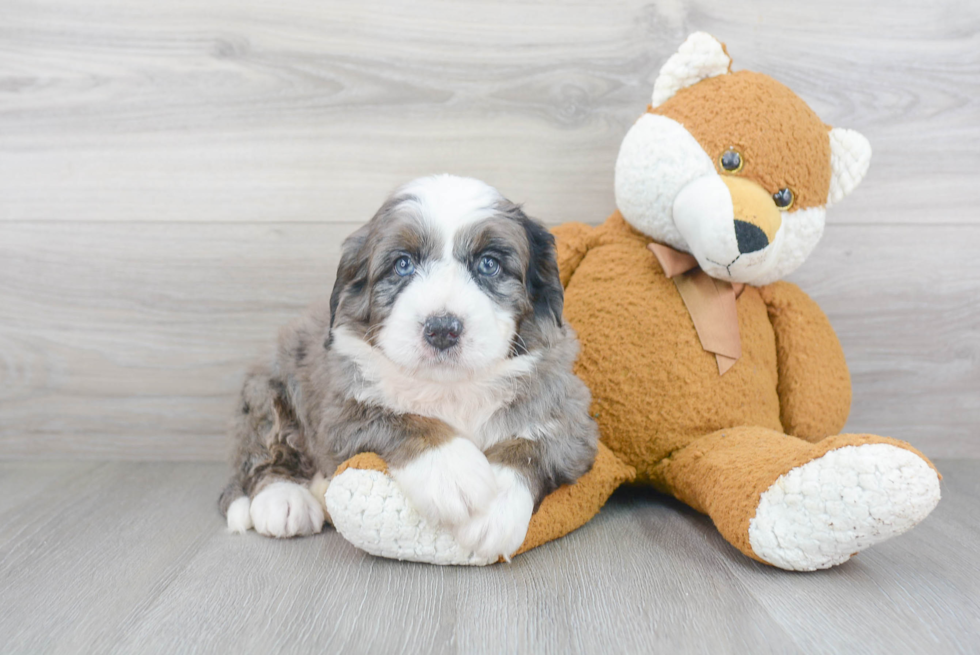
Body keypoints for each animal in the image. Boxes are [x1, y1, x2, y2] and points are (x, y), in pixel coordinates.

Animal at [220, 176, 596, 564]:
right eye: (402, 265)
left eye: (489, 264)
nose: (442, 329)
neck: (451, 387)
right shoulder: (340, 412)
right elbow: (400, 418)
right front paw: (454, 473)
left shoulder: (570, 416)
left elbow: (532, 444)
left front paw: (494, 511)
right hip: (268, 390)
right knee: (262, 454)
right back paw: (284, 501)